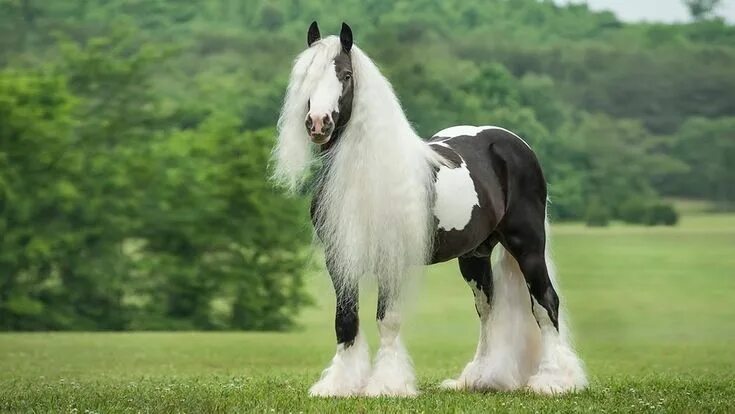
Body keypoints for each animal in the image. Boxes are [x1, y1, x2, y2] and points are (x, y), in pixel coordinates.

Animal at [274, 21, 588, 398]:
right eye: (307, 75)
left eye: (346, 75)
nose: (318, 123)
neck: (363, 174)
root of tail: (512, 143)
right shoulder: (339, 259)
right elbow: (345, 320)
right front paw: (340, 385)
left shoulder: (390, 258)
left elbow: (388, 320)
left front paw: (387, 385)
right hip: (475, 254)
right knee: (488, 309)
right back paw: (480, 378)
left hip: (527, 245)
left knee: (545, 303)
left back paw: (555, 381)